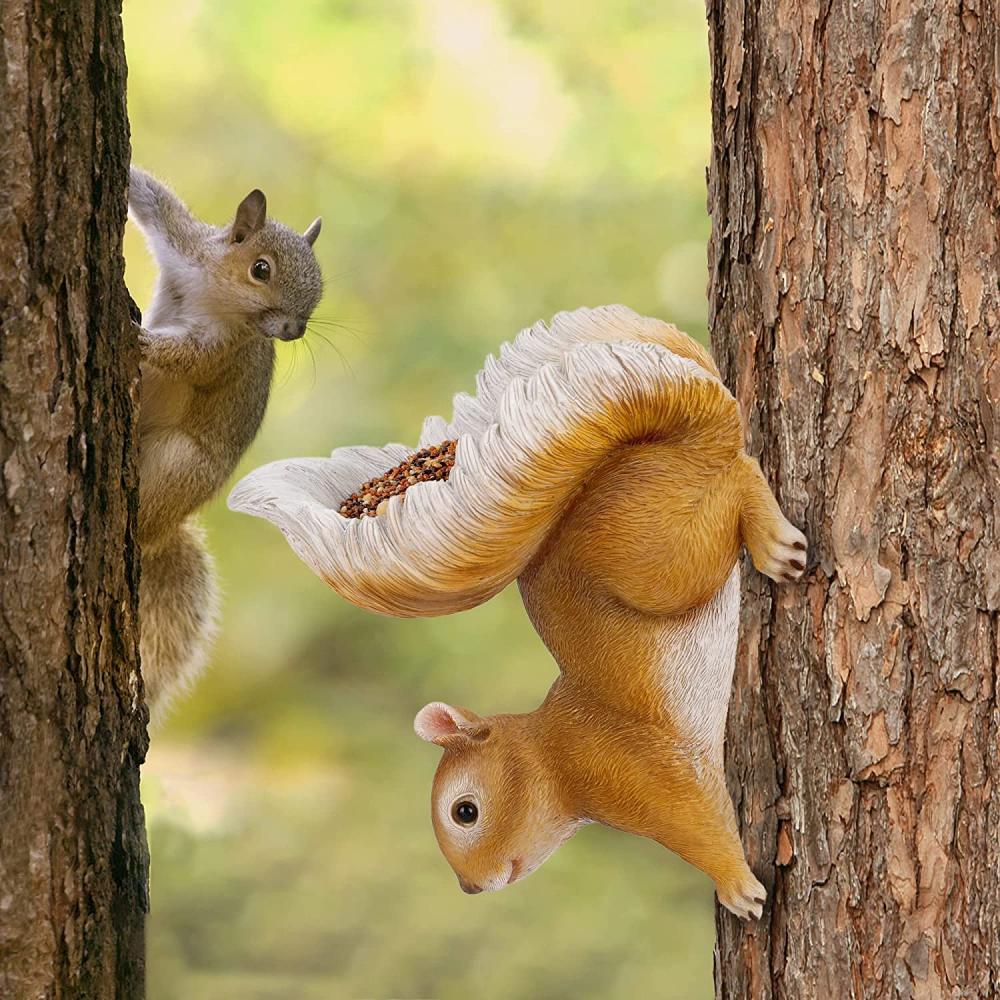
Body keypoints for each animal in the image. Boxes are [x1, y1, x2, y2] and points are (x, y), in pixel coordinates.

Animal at [129, 166, 322, 712]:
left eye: (319, 288)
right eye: (261, 269)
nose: (294, 330)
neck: (214, 293)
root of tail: (167, 528)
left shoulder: (222, 349)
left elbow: (188, 359)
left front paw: (140, 339)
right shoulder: (183, 244)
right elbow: (153, 198)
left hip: (179, 465)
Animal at [227, 306, 804, 920]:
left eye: (465, 811)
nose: (471, 889)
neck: (553, 753)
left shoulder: (647, 771)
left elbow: (701, 826)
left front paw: (737, 888)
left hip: (662, 555)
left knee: (737, 475)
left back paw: (774, 543)